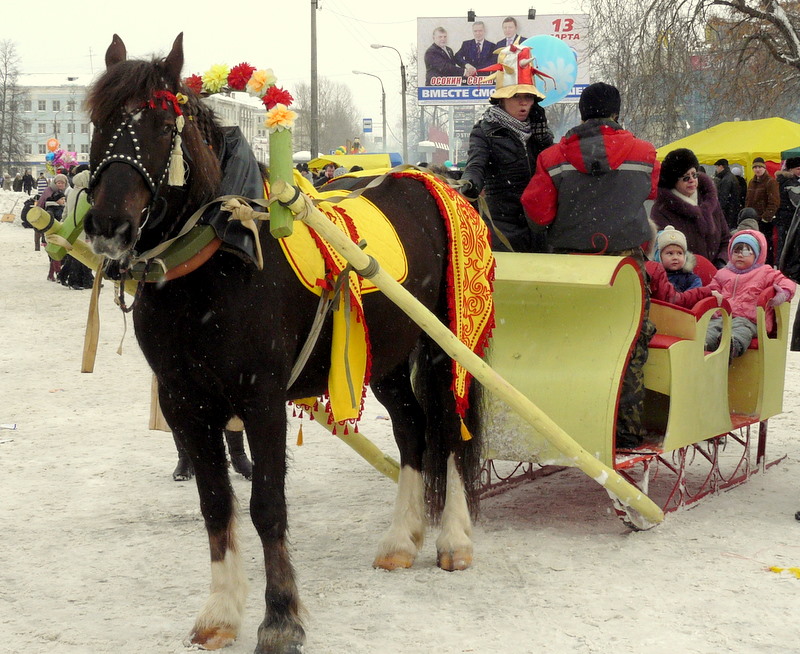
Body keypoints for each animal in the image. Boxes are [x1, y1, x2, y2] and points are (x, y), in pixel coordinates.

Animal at [84, 36, 488, 654]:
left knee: (447, 427)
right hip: (386, 359)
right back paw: (401, 538)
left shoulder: (261, 400)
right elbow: (215, 504)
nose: (109, 224)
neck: (220, 257)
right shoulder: (184, 403)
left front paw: (279, 617)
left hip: (445, 347)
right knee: (412, 428)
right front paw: (222, 610)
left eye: (160, 122)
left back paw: (454, 541)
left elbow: (267, 506)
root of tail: (435, 183)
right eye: (99, 118)